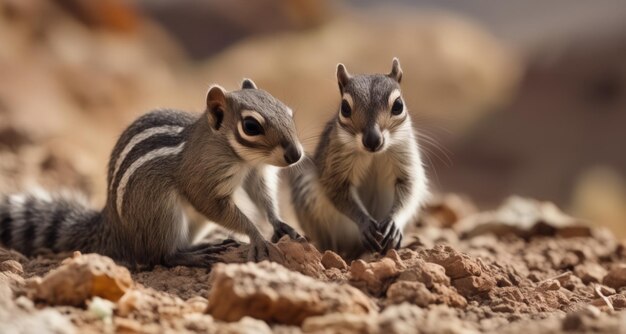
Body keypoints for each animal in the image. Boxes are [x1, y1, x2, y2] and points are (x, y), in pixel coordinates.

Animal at [0, 79, 302, 268]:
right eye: (251, 126)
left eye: (289, 112)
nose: (296, 155)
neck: (240, 157)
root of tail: (112, 230)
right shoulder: (203, 176)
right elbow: (211, 204)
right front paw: (257, 236)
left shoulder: (255, 172)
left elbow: (262, 195)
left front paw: (280, 224)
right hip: (160, 211)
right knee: (159, 255)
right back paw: (194, 255)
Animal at [288, 58, 426, 260]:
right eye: (345, 108)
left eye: (398, 105)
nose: (372, 140)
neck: (373, 155)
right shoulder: (335, 164)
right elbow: (339, 193)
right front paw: (365, 222)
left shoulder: (405, 157)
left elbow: (409, 189)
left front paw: (393, 223)